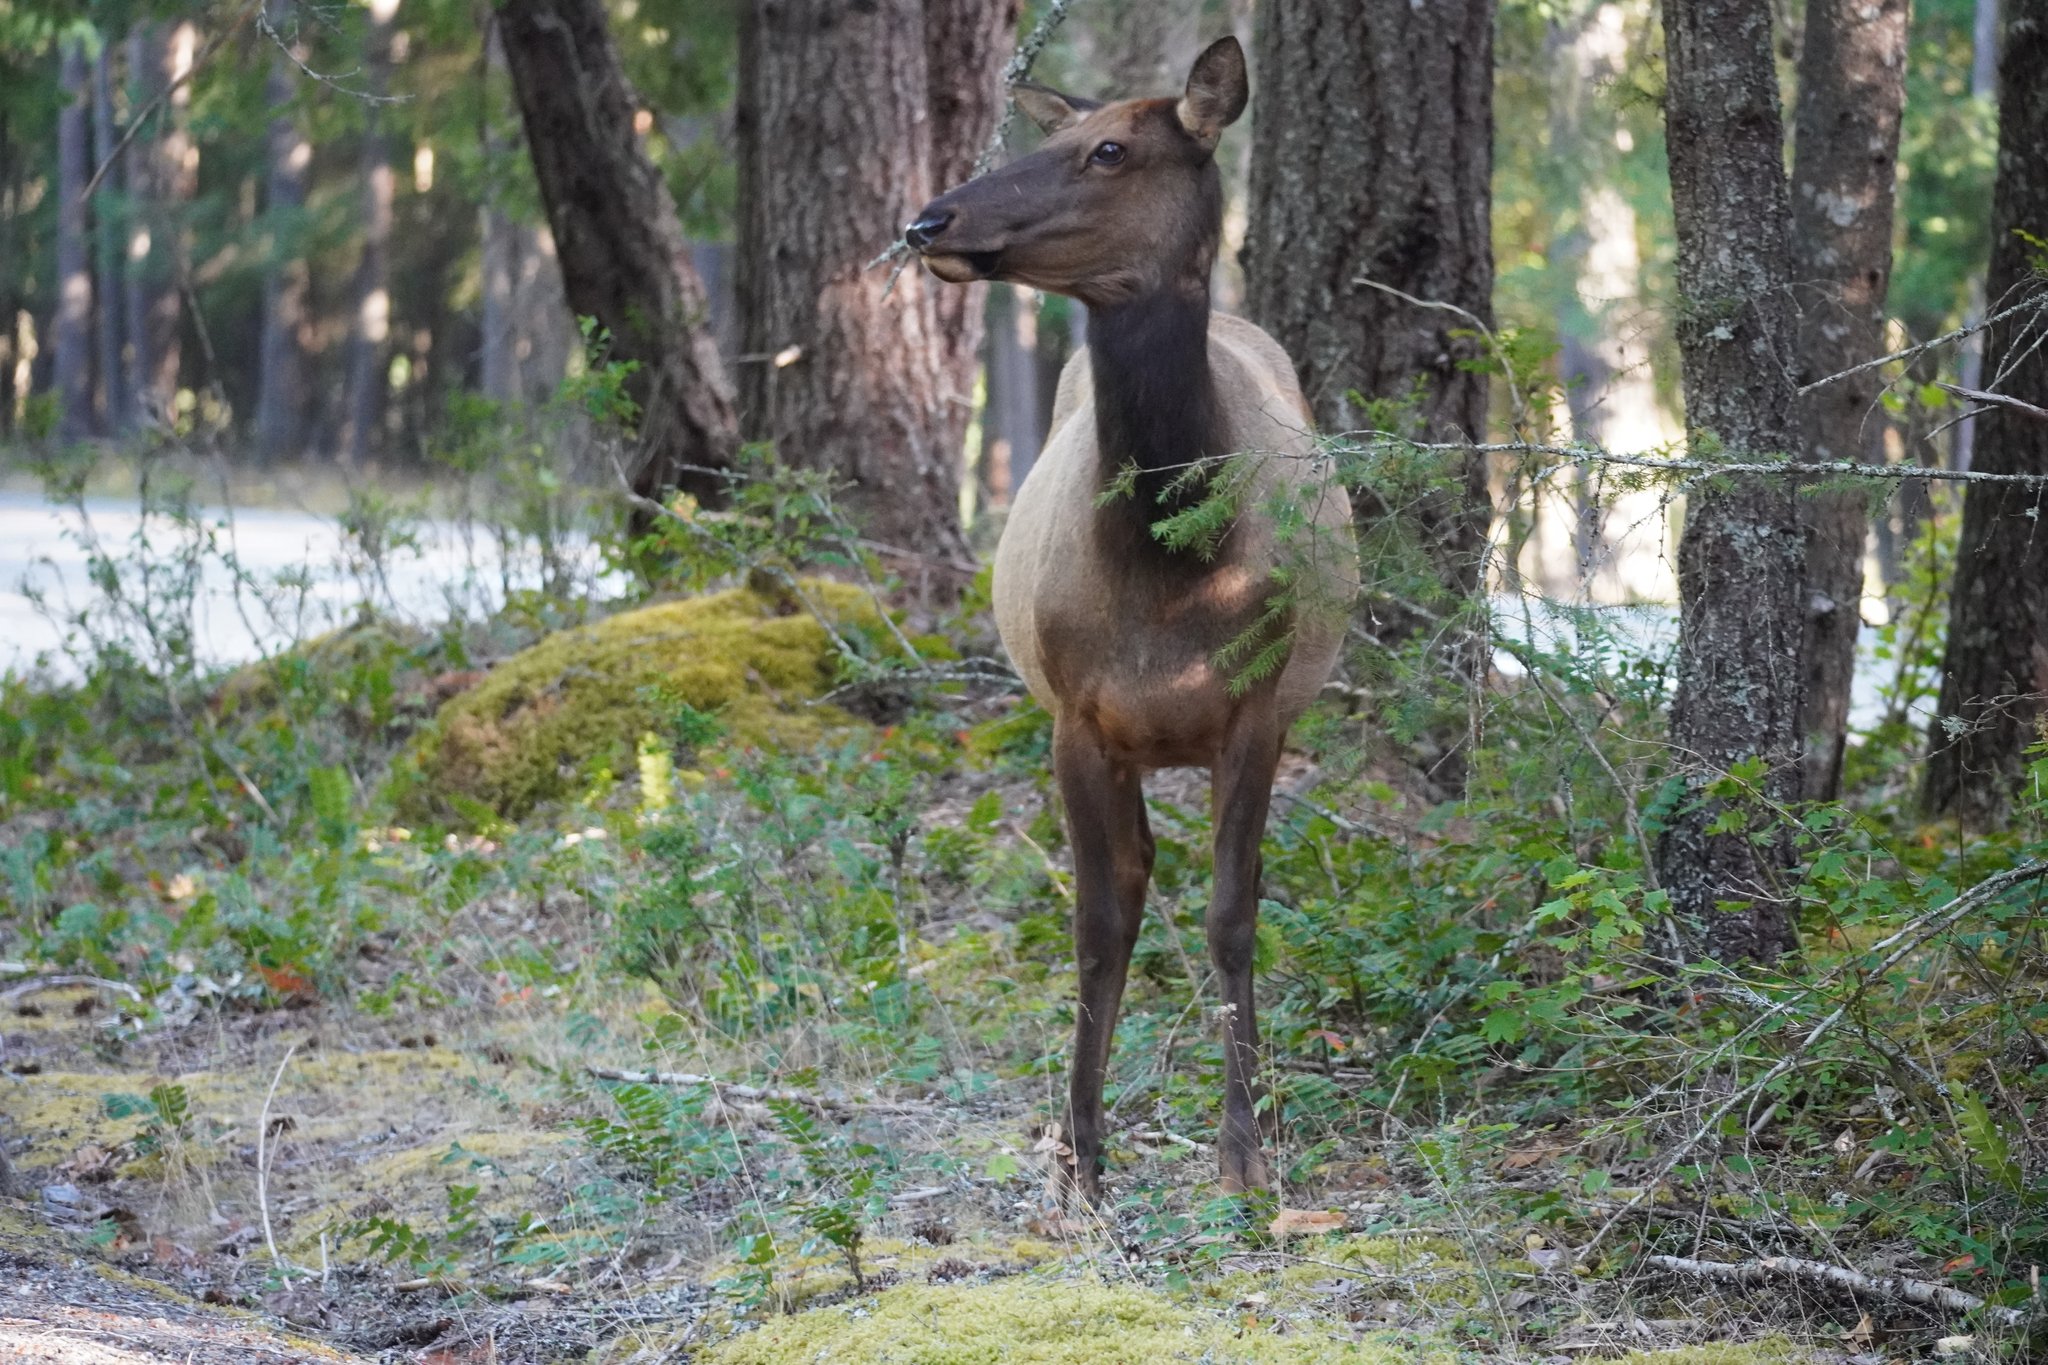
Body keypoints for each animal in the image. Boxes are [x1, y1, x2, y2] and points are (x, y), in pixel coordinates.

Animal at [904, 36, 1359, 1205]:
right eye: (1055, 132)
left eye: (1109, 149)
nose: (928, 221)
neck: (1172, 581)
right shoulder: (1074, 716)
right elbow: (1096, 923)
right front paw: (1079, 1158)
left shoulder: (1257, 712)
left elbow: (1232, 914)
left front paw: (1242, 1152)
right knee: (1137, 869)